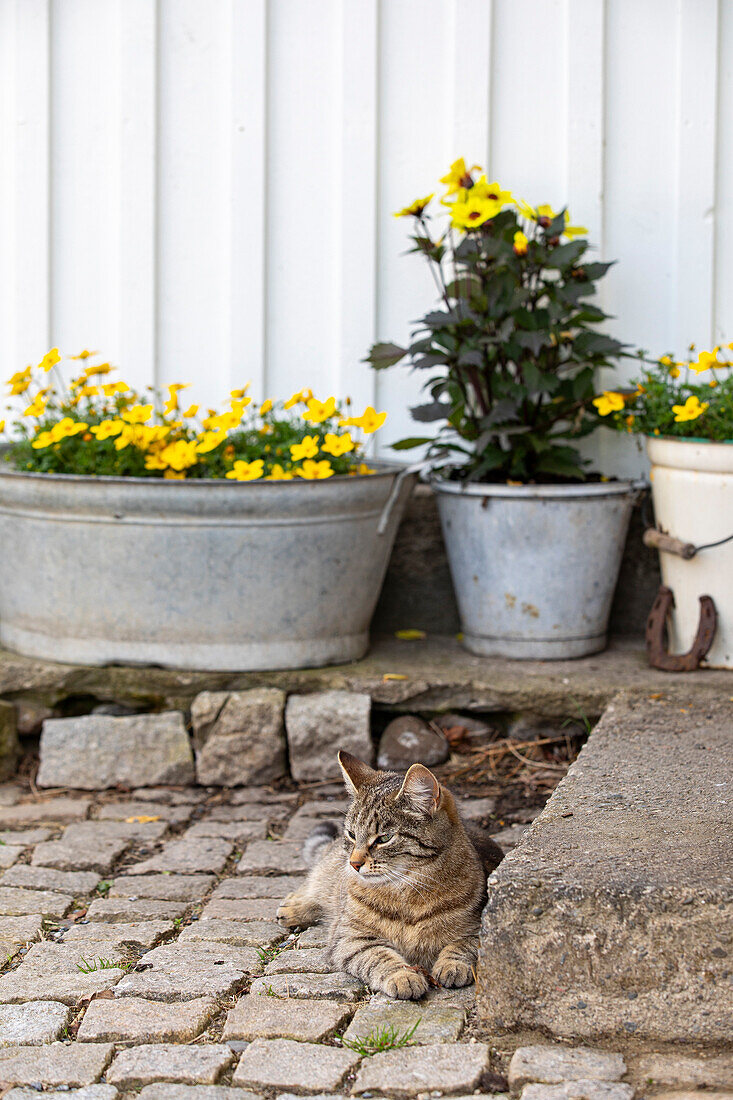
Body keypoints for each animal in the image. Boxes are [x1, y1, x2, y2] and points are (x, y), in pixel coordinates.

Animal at [274, 752, 501, 1003]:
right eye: (351, 834)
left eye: (384, 838)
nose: (354, 864)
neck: (408, 894)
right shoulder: (350, 938)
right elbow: (378, 957)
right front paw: (403, 977)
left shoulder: (481, 927)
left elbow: (464, 946)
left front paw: (453, 964)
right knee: (317, 879)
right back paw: (294, 907)